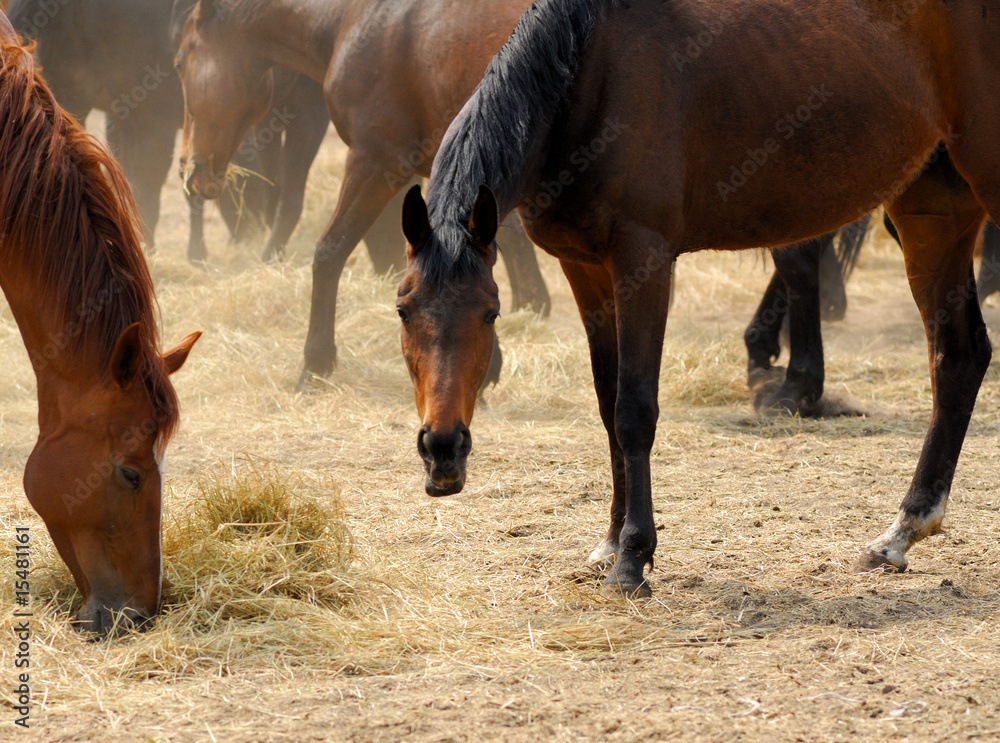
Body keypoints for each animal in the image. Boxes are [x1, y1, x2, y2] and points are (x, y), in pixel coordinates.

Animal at [173, 0, 553, 389]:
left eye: (179, 62)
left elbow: (329, 251)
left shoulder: (374, 163)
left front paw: (316, 363)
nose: (187, 166)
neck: (354, 19)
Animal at [396, 0, 998, 597]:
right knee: (958, 356)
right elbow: (607, 407)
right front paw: (610, 541)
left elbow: (634, 410)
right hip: (932, 211)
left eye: (490, 313)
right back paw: (902, 531)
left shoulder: (643, 260)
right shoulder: (585, 268)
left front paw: (632, 558)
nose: (442, 449)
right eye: (402, 311)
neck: (589, 76)